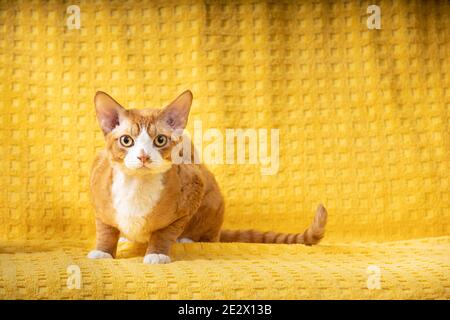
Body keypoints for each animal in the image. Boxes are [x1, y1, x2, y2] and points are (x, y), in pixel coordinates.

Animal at [88, 90, 326, 264]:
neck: (137, 186)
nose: (143, 156)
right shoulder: (98, 197)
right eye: (126, 141)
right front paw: (103, 251)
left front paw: (157, 252)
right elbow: (106, 230)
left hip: (212, 199)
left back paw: (187, 239)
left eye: (160, 140)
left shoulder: (194, 190)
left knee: (209, 236)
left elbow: (165, 232)